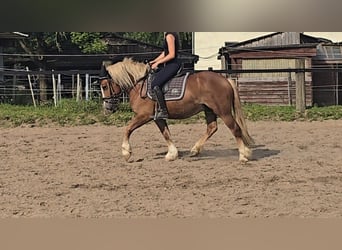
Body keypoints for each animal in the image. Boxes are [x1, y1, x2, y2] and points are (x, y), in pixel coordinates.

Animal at [99, 57, 254, 162]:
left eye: (105, 86)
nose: (107, 108)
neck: (139, 85)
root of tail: (225, 79)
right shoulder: (157, 117)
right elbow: (166, 133)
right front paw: (172, 154)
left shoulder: (144, 115)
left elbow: (128, 129)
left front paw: (126, 152)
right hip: (209, 110)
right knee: (212, 128)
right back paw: (194, 150)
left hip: (223, 111)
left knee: (235, 129)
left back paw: (243, 155)